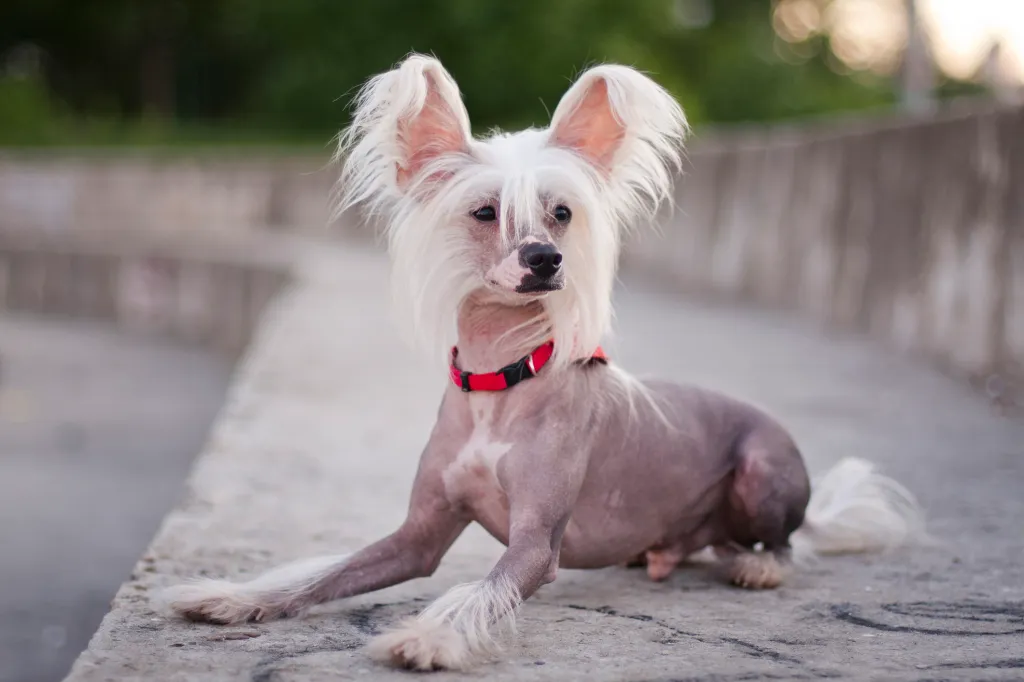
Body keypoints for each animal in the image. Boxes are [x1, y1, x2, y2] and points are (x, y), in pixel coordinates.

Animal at [161, 54, 929, 667]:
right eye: (485, 211)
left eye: (561, 213)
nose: (545, 258)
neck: (498, 380)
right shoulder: (416, 538)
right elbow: (325, 572)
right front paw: (233, 597)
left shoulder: (536, 545)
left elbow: (479, 590)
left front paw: (428, 637)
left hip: (763, 473)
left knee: (784, 546)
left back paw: (759, 569)